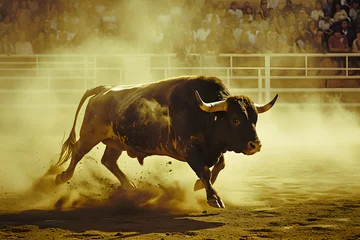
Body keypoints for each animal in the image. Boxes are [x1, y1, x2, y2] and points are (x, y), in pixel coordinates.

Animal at [53, 75, 278, 208]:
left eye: (255, 119)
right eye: (235, 119)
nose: (255, 145)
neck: (205, 115)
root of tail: (104, 89)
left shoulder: (215, 150)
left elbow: (218, 166)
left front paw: (200, 185)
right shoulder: (190, 150)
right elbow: (205, 171)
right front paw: (213, 198)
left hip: (117, 141)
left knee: (108, 160)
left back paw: (130, 185)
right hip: (91, 133)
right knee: (79, 152)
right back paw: (62, 177)